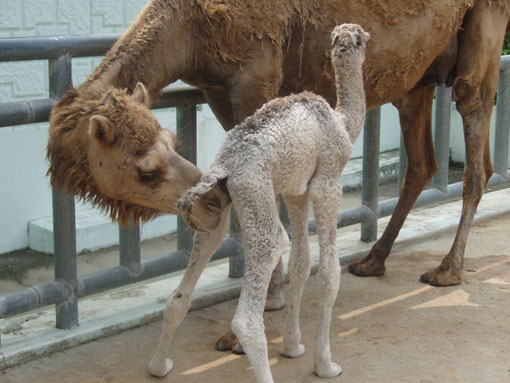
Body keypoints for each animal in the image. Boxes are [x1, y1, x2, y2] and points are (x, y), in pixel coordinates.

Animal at [148, 24, 370, 383]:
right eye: (363, 38)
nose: (367, 38)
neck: (343, 123)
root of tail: (225, 165)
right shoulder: (327, 182)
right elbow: (329, 272)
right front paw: (325, 364)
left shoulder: (296, 190)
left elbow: (301, 264)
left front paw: (292, 347)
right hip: (256, 193)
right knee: (264, 267)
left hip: (223, 202)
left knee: (193, 270)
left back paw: (159, 365)